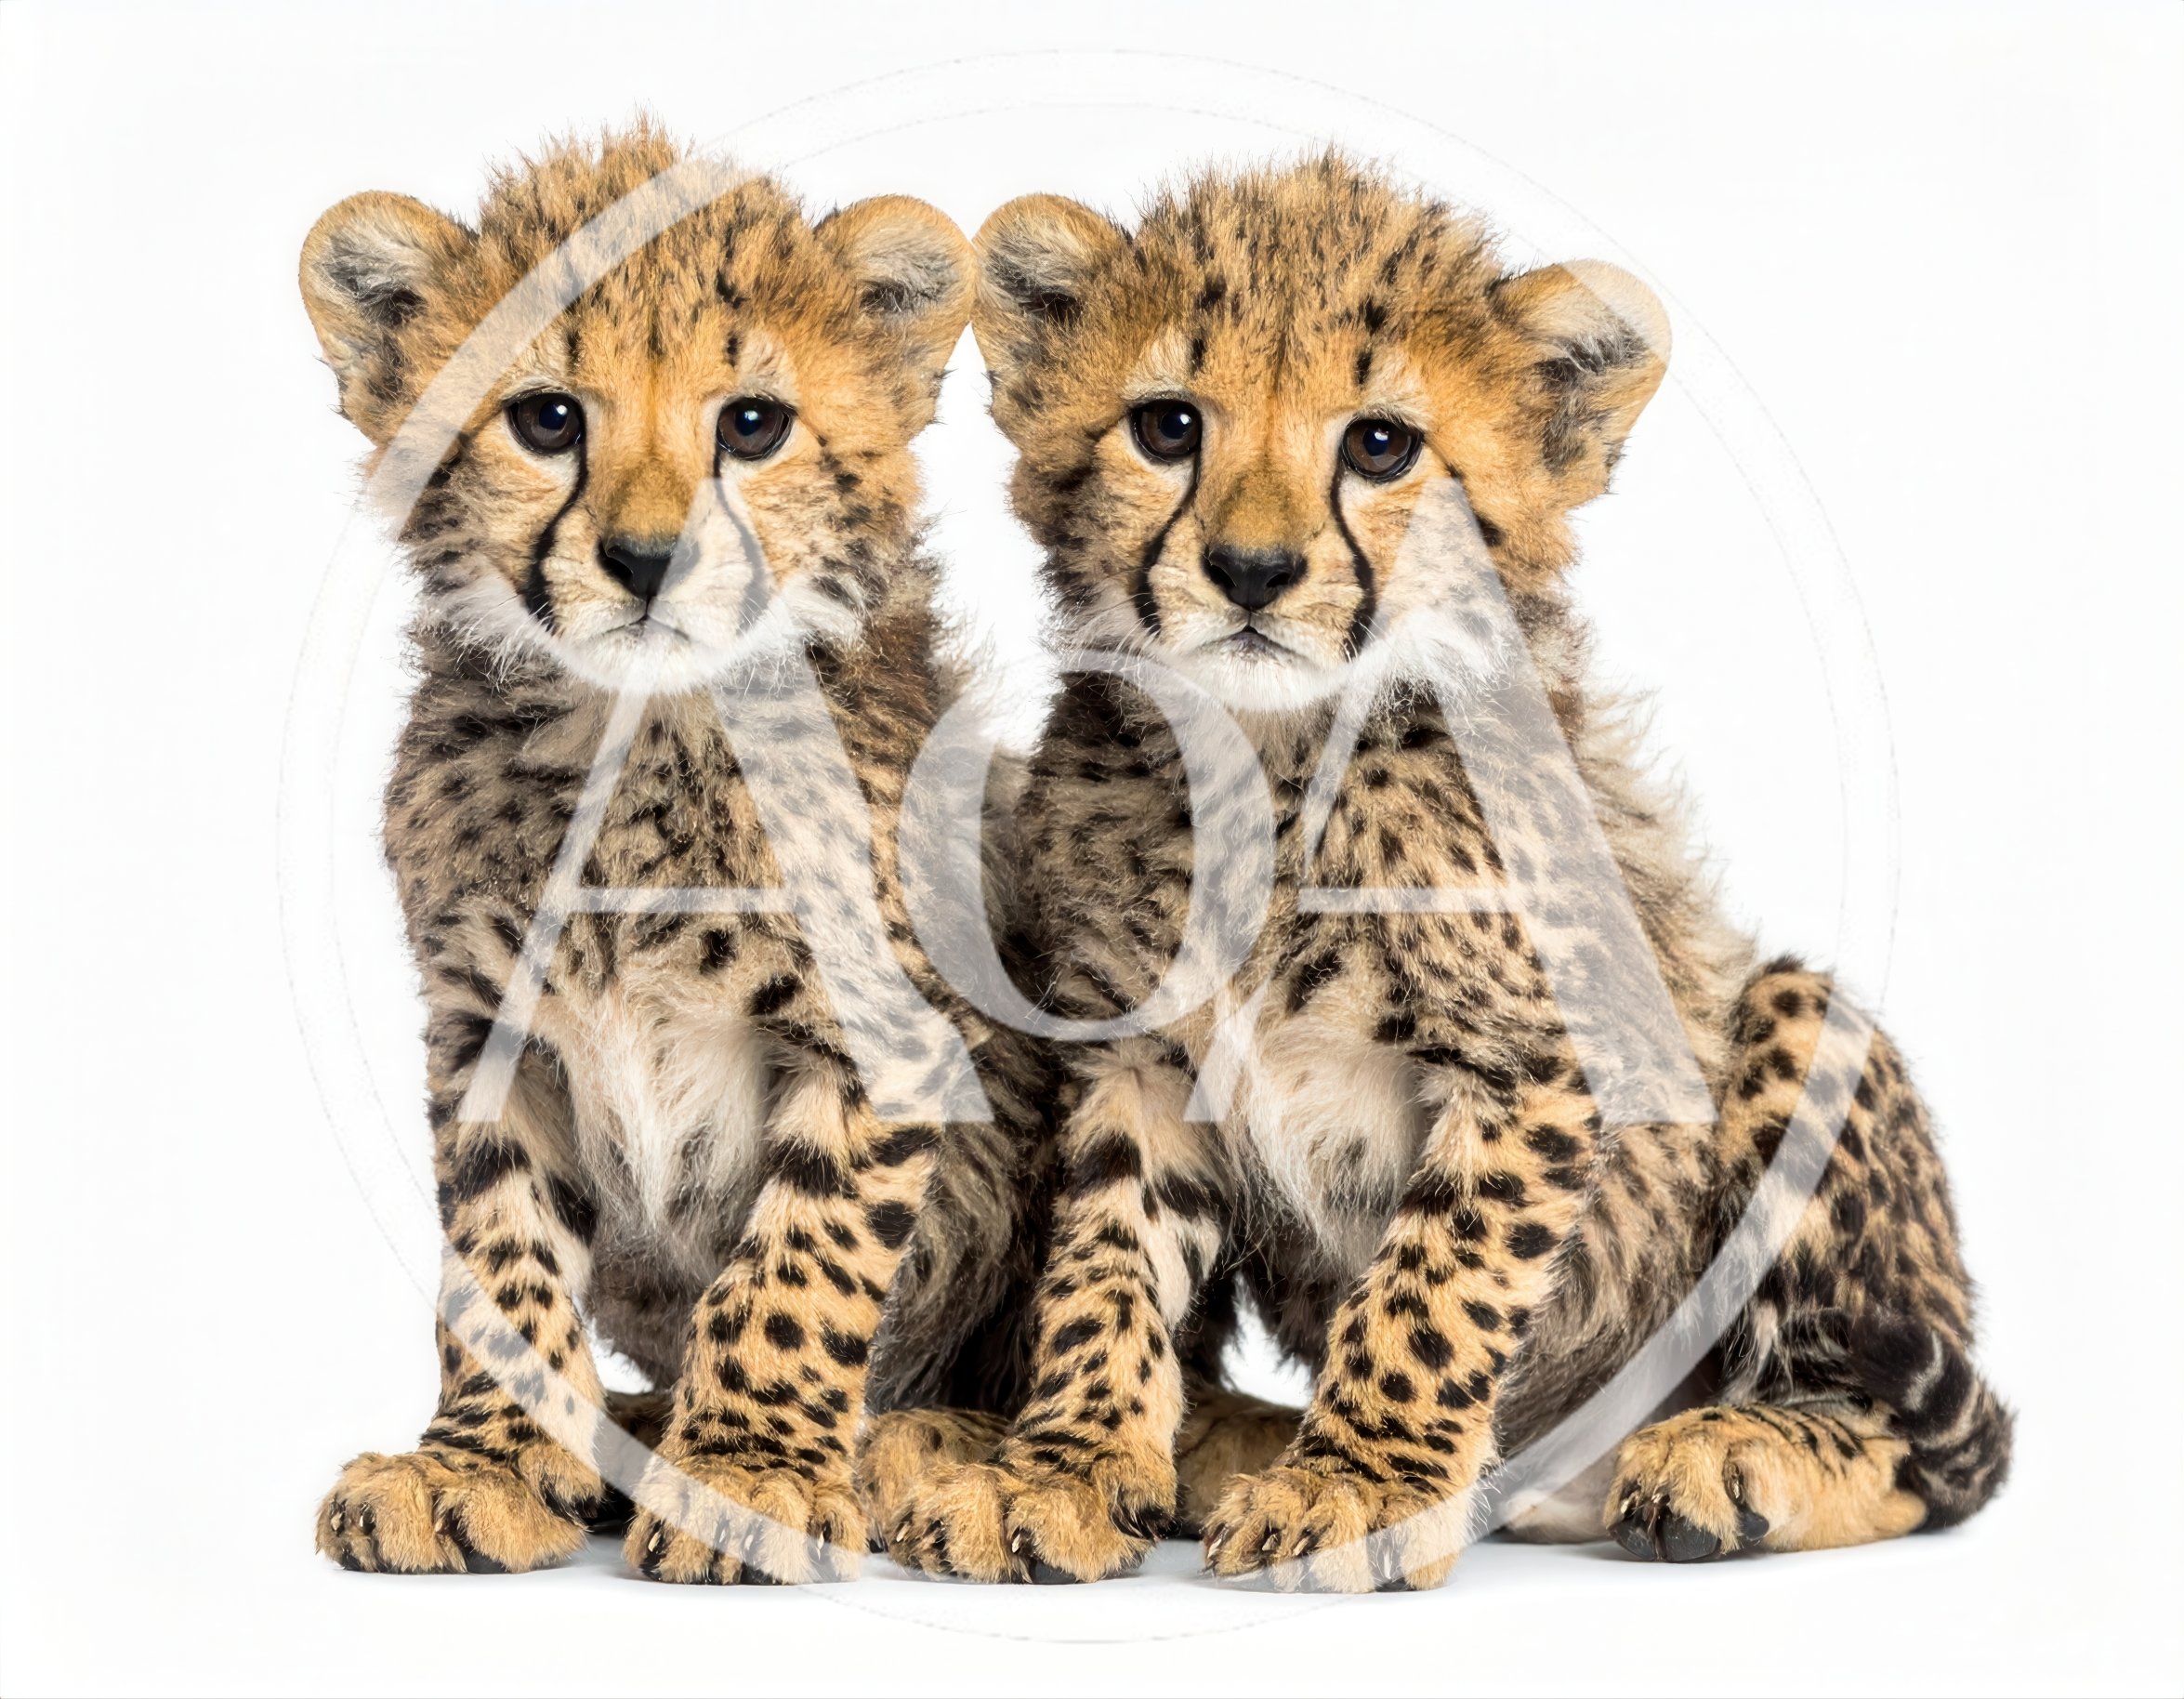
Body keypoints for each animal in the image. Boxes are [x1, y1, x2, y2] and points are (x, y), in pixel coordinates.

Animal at [299, 123, 1054, 1583]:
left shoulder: (876, 1030)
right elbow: (500, 1250)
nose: (647, 559)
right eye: (547, 419)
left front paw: (748, 1472)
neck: (635, 737)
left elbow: (798, 1264)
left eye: (750, 425)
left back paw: (918, 1446)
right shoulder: (489, 1028)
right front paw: (482, 1462)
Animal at [861, 154, 2012, 1590]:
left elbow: (1430, 1287)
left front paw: (1354, 1486)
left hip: (1792, 1031)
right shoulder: (1134, 1055)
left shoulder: (1537, 1061)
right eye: (1167, 427)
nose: (1251, 570)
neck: (1275, 765)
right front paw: (1064, 1466)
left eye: (1379, 446)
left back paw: (1727, 1459)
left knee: (1934, 1449)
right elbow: (1106, 1263)